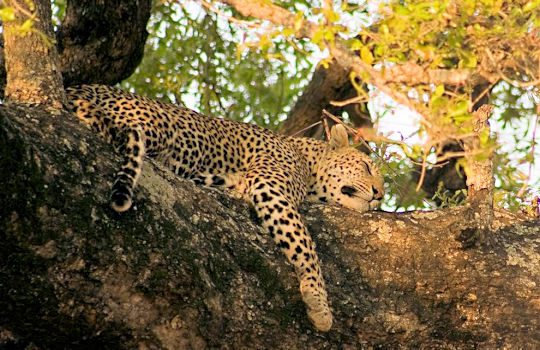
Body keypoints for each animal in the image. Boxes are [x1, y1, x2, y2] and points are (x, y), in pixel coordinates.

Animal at [66, 84, 384, 330]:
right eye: (367, 166)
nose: (380, 195)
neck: (308, 162)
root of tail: (78, 87)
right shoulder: (270, 188)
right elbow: (304, 244)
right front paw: (319, 304)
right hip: (166, 127)